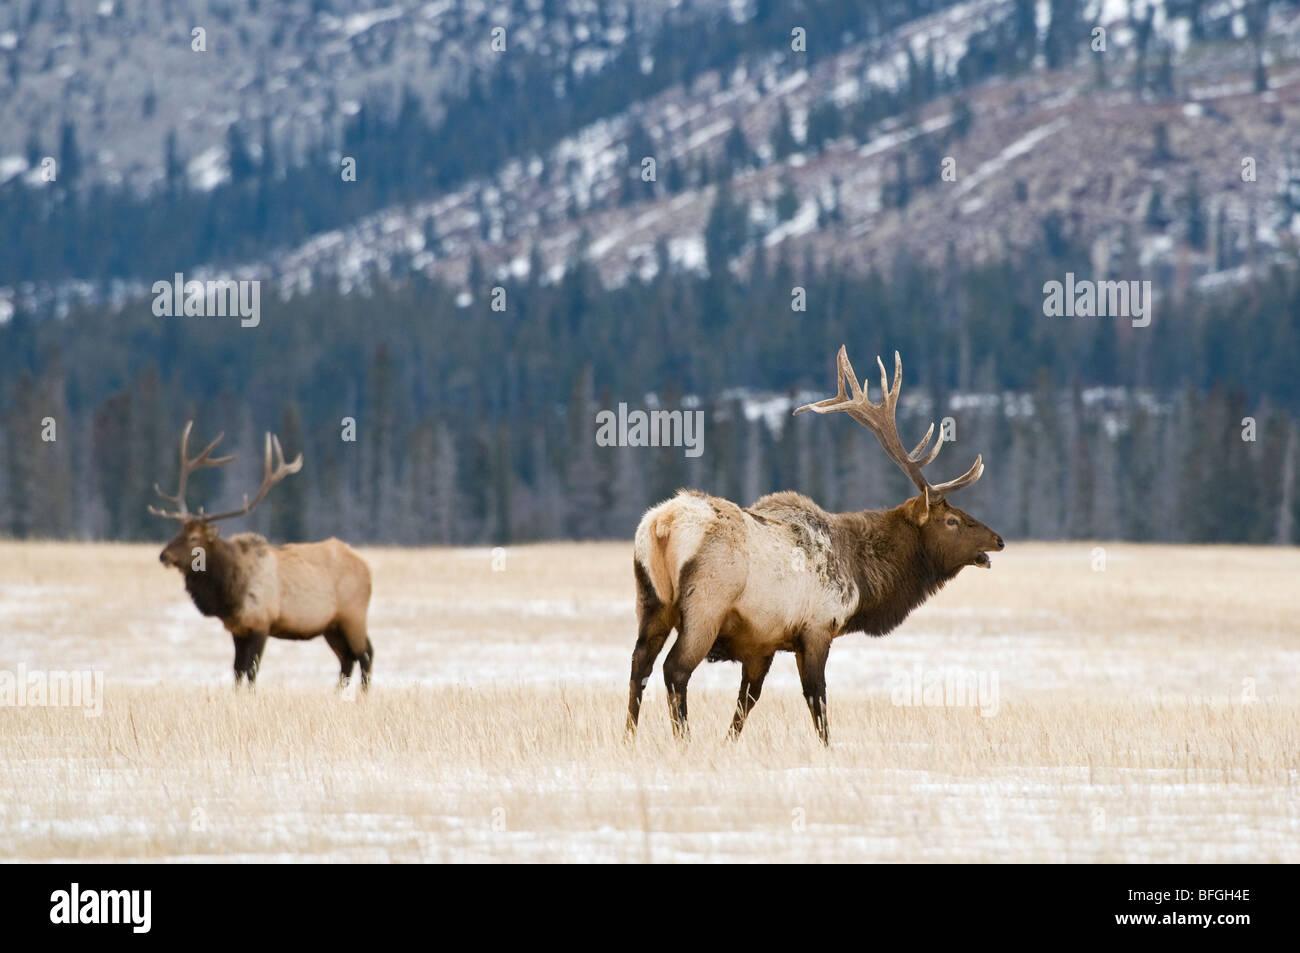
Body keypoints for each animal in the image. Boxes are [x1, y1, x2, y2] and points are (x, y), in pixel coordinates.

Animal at [150, 422, 374, 690]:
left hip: (353, 614)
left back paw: (362, 694)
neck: (229, 593)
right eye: (179, 530)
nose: (164, 555)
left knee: (366, 653)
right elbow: (237, 670)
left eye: (194, 538)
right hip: (331, 625)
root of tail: (366, 568)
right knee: (347, 659)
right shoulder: (238, 629)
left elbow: (251, 670)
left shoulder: (261, 623)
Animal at [627, 346, 1004, 745]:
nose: (998, 539)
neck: (861, 578)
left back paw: (628, 737)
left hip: (651, 601)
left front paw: (729, 744)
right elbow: (816, 698)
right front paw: (827, 749)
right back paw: (683, 741)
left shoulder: (762, 643)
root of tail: (661, 525)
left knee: (639, 664)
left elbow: (746, 702)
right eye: (952, 520)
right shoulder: (818, 626)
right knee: (675, 669)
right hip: (705, 605)